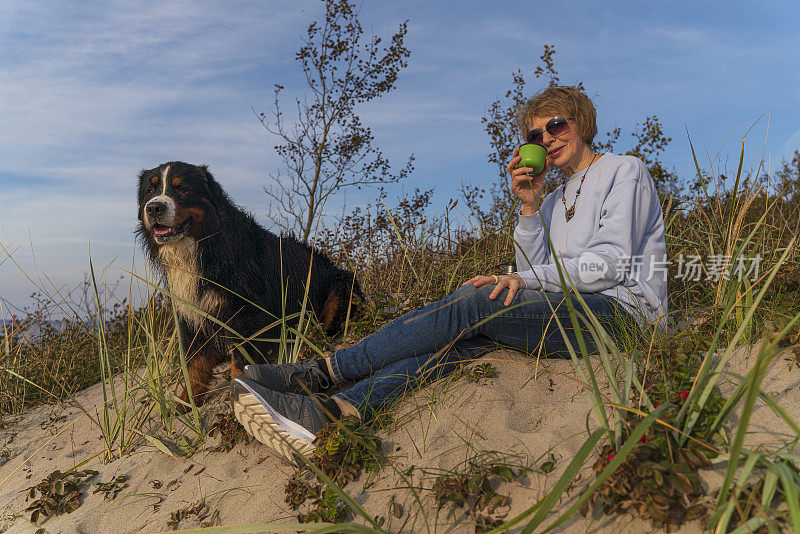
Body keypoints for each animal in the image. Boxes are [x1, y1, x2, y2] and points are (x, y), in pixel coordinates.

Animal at [138, 162, 362, 410]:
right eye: (150, 191)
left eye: (183, 189)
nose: (154, 208)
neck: (202, 249)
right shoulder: (193, 315)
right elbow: (194, 366)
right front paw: (185, 406)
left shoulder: (245, 313)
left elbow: (241, 360)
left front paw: (237, 395)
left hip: (341, 285)